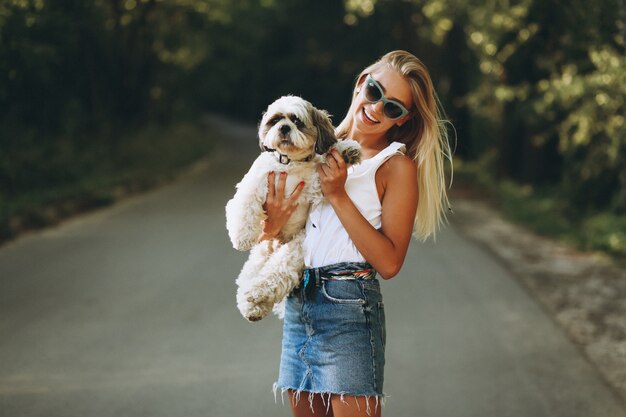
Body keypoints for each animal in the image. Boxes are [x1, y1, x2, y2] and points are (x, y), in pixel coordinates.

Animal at [225, 96, 360, 320]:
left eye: (297, 121)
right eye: (275, 120)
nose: (284, 127)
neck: (288, 164)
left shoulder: (313, 184)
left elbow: (325, 161)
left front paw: (347, 150)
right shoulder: (254, 183)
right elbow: (245, 206)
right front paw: (241, 236)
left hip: (296, 248)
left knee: (275, 274)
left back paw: (255, 295)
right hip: (259, 257)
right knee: (248, 278)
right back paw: (250, 306)